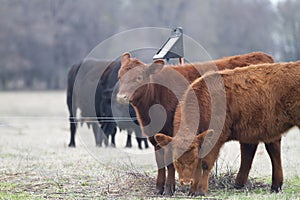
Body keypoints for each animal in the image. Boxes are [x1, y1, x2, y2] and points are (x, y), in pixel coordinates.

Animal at [116, 51, 276, 195]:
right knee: (249, 148)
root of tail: (263, 56)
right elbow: (160, 162)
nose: (121, 97)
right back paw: (240, 184)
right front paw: (158, 189)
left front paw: (169, 189)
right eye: (119, 76)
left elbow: (170, 163)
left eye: (138, 77)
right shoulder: (155, 137)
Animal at [155, 60, 300, 195]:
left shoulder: (215, 139)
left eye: (193, 158)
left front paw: (200, 190)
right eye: (176, 160)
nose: (185, 181)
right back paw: (275, 186)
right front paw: (192, 191)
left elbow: (205, 163)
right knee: (273, 150)